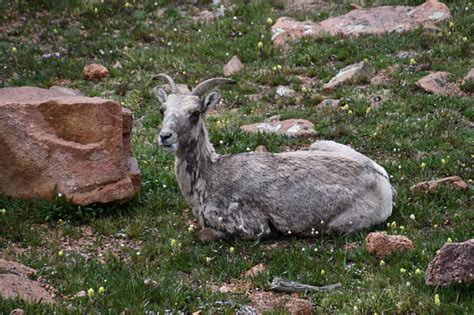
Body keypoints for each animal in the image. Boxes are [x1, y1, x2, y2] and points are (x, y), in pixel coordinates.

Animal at [154, 74, 394, 242]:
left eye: (195, 113)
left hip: (338, 224)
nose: (165, 136)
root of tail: (383, 184)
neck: (210, 176)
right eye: (162, 109)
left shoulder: (250, 226)